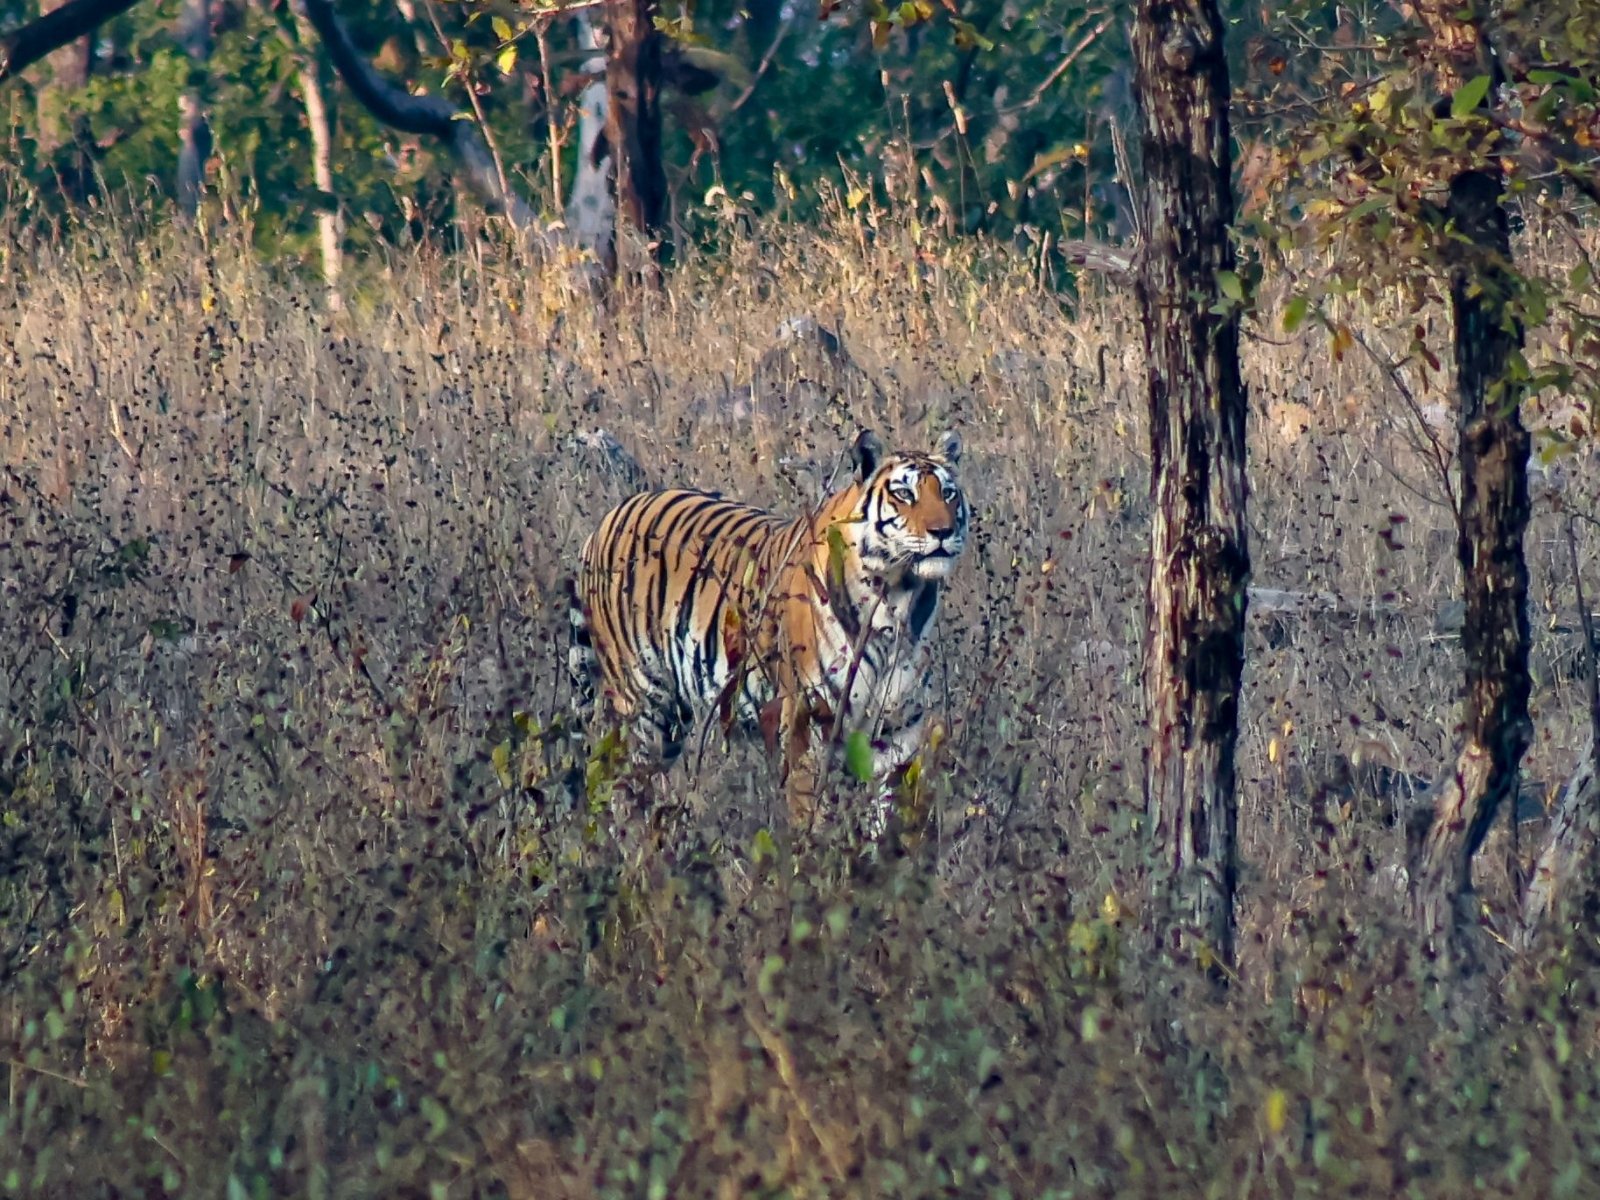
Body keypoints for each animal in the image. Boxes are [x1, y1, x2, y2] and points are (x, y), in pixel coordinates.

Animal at [567, 429, 968, 826]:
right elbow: (810, 815)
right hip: (643, 703)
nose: (943, 531)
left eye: (947, 493)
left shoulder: (899, 732)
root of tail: (605, 522)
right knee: (624, 788)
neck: (899, 601)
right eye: (905, 494)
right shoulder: (808, 723)